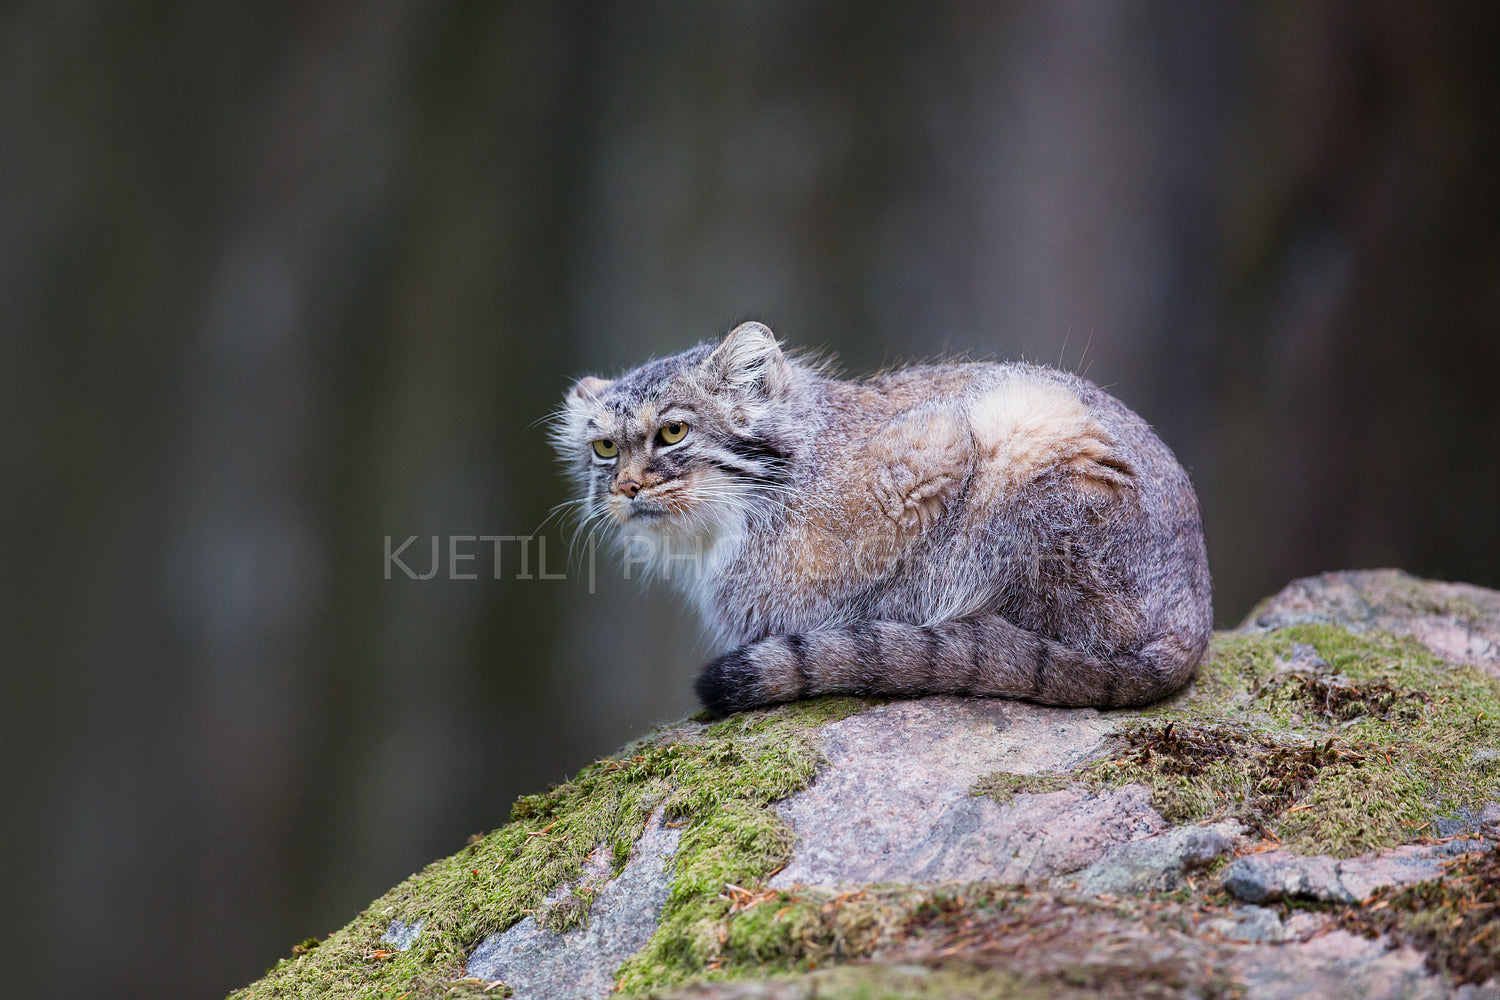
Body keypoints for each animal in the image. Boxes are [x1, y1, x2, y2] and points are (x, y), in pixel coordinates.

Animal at [558, 325, 1212, 716]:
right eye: (605, 448)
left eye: (673, 431)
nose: (626, 486)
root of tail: (1194, 616)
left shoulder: (935, 450)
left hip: (1027, 431)